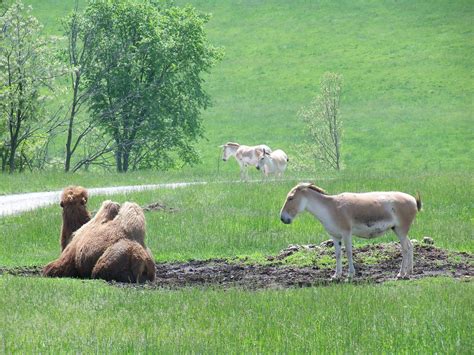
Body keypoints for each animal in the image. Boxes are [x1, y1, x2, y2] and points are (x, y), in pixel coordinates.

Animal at [280, 184, 420, 280]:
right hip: (398, 230)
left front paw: (350, 275)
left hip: (401, 230)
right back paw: (409, 272)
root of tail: (413, 199)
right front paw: (336, 275)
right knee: (410, 246)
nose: (282, 218)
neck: (330, 208)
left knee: (405, 249)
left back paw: (401, 274)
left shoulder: (346, 233)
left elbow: (348, 252)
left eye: (290, 198)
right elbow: (337, 254)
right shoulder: (335, 236)